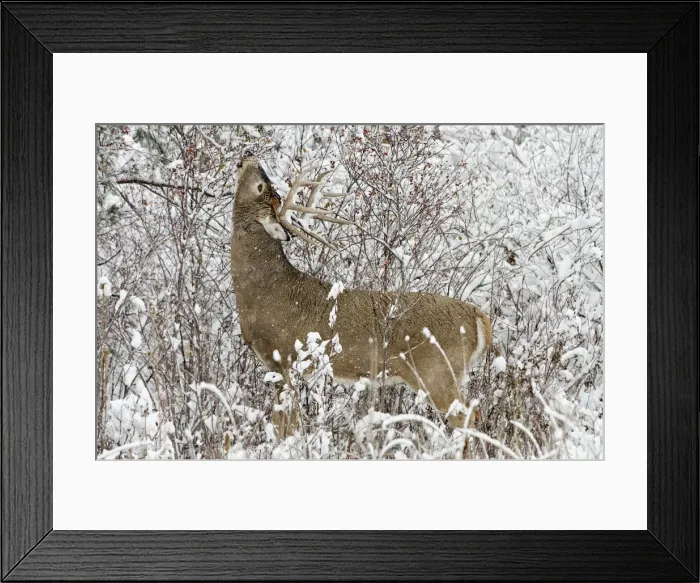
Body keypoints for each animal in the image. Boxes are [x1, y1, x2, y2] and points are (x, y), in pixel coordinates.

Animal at [230, 152, 492, 436]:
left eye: (260, 187)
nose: (249, 155)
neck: (263, 291)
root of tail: (479, 317)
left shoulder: (284, 359)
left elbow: (285, 425)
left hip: (438, 370)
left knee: (467, 416)